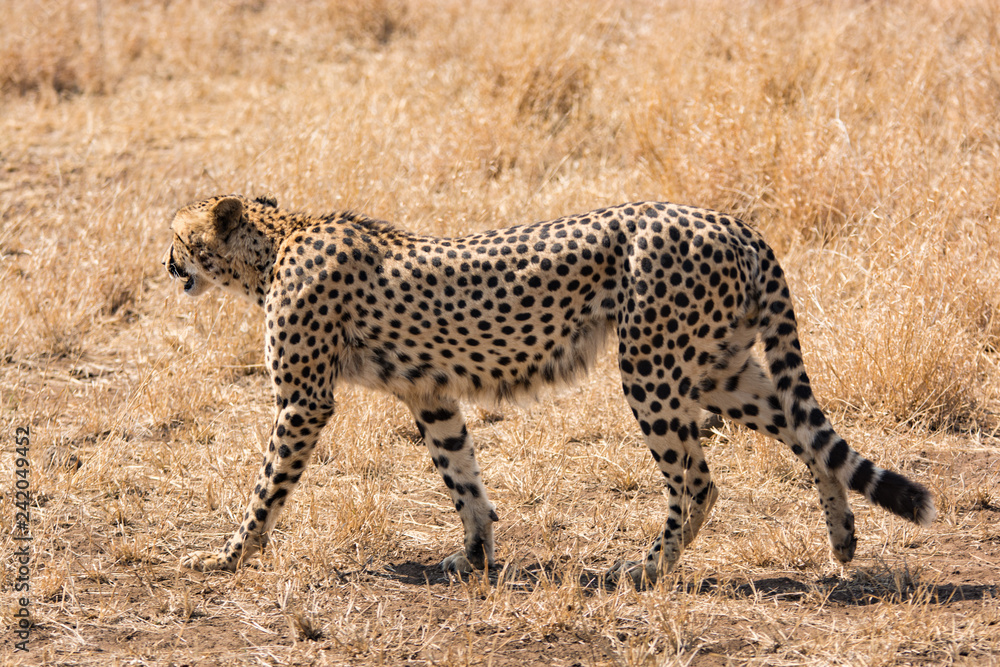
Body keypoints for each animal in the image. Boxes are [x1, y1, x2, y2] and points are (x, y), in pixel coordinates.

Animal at [162, 193, 936, 586]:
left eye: (176, 234)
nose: (166, 264)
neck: (276, 241)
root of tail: (729, 219)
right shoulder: (431, 393)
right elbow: (463, 478)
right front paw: (474, 556)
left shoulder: (303, 401)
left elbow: (265, 486)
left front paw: (228, 556)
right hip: (719, 367)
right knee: (808, 435)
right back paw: (842, 540)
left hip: (652, 368)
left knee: (698, 480)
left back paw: (646, 569)